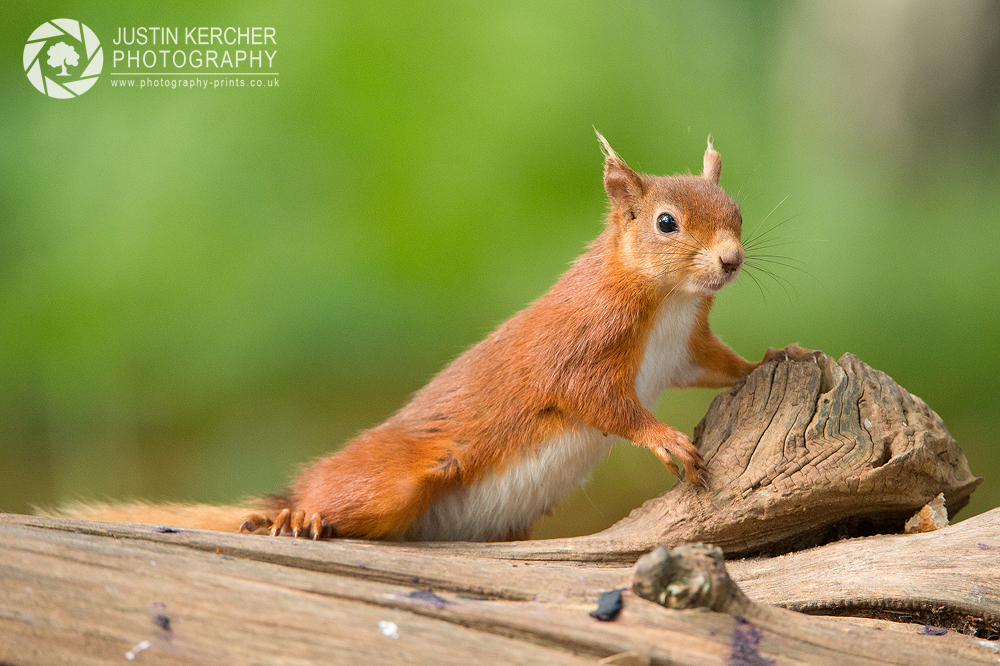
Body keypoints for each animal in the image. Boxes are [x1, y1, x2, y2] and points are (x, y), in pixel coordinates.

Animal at [54, 134, 816, 540]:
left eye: (736, 211)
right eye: (665, 223)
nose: (731, 261)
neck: (668, 305)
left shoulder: (685, 350)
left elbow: (719, 364)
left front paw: (780, 355)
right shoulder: (579, 344)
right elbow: (594, 398)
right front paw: (661, 439)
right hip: (394, 478)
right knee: (331, 498)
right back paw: (293, 519)